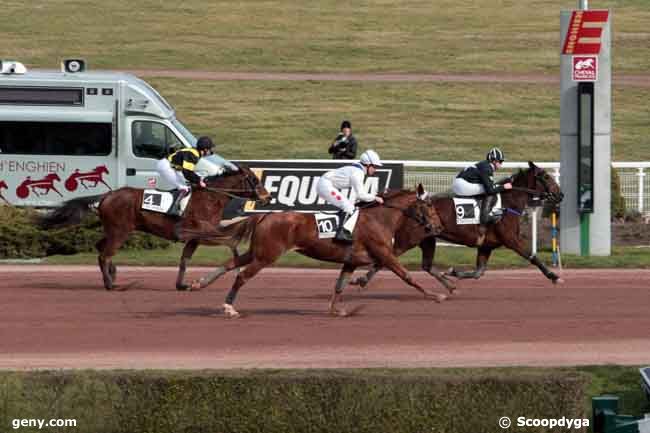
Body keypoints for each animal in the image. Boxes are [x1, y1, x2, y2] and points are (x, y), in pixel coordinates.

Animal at [39, 165, 268, 290]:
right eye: (253, 179)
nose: (267, 196)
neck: (210, 197)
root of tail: (106, 195)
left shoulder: (193, 238)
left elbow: (184, 261)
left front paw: (182, 285)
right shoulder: (199, 231)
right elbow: (227, 239)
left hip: (114, 230)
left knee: (100, 248)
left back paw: (113, 273)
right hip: (120, 231)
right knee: (104, 254)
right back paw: (111, 284)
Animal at [187, 186, 446, 318]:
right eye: (429, 205)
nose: (438, 227)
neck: (379, 218)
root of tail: (265, 215)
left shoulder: (352, 261)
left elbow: (340, 285)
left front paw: (336, 309)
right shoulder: (385, 255)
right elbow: (408, 277)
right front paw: (436, 295)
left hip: (257, 251)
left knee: (229, 264)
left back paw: (199, 284)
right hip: (267, 255)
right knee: (241, 275)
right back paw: (230, 308)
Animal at [350, 163, 560, 294]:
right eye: (546, 176)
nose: (561, 194)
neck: (507, 203)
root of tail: (408, 205)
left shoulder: (486, 245)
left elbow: (478, 272)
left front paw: (453, 272)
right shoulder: (511, 239)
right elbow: (532, 256)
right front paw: (554, 276)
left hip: (428, 238)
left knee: (425, 265)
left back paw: (450, 285)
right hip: (408, 239)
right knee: (386, 259)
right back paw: (362, 280)